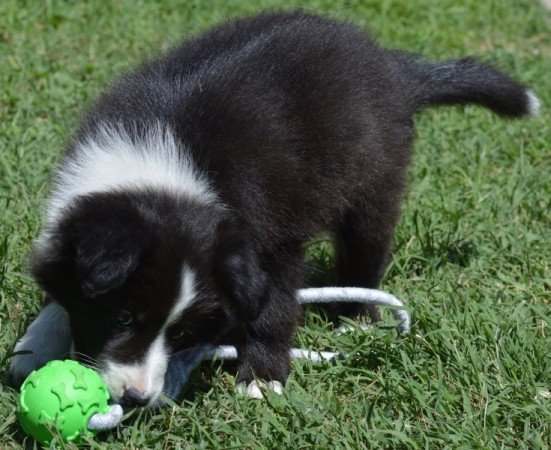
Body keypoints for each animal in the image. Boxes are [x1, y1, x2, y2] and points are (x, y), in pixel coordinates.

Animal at [7, 11, 540, 408]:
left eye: (181, 331)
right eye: (121, 317)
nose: (137, 398)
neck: (166, 160)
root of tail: (394, 67)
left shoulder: (270, 236)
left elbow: (274, 303)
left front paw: (261, 377)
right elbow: (60, 283)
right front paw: (35, 344)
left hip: (374, 179)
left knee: (368, 246)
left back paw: (357, 316)